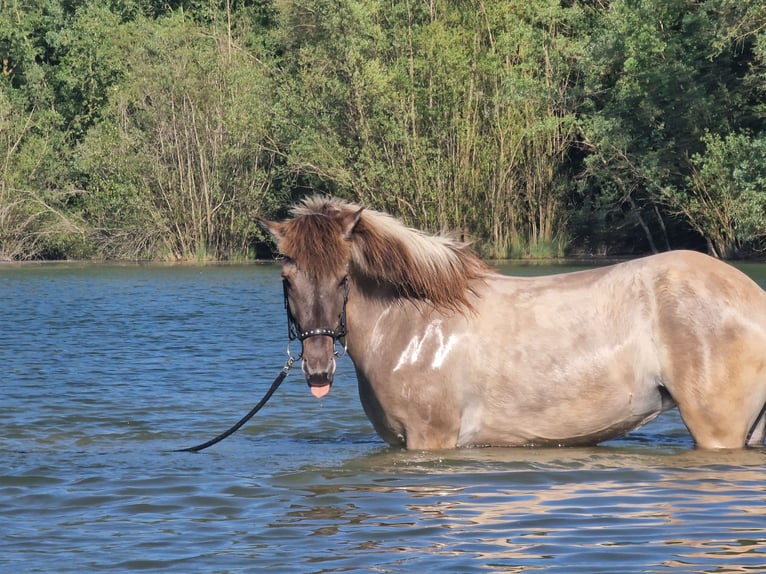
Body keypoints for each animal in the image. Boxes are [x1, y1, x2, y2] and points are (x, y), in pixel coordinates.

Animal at [259, 196, 766, 450]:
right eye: (287, 280)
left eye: (344, 278)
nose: (318, 370)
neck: (414, 325)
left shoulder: (430, 440)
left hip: (718, 432)